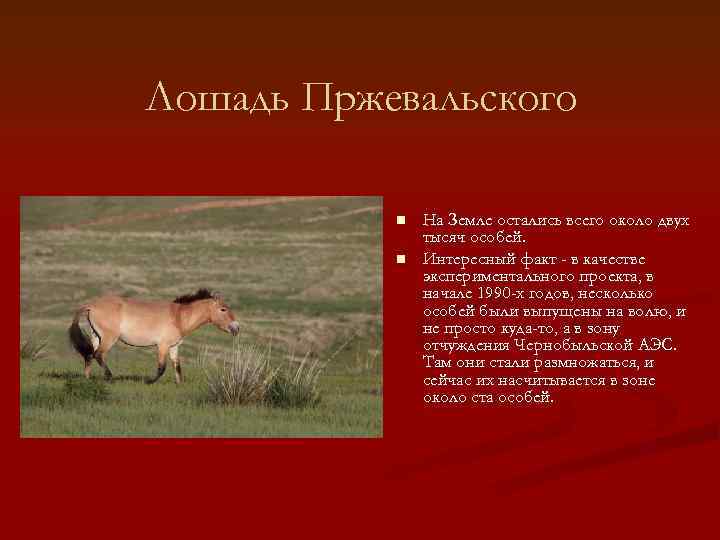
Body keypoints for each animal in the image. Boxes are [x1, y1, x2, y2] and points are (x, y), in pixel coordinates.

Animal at [68, 288, 239, 384]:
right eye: (223, 309)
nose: (236, 327)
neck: (178, 317)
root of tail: (91, 305)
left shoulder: (174, 347)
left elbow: (177, 366)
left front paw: (180, 384)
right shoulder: (162, 346)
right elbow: (161, 368)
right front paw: (149, 382)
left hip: (96, 336)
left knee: (90, 355)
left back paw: (88, 378)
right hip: (109, 338)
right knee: (98, 355)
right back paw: (110, 378)